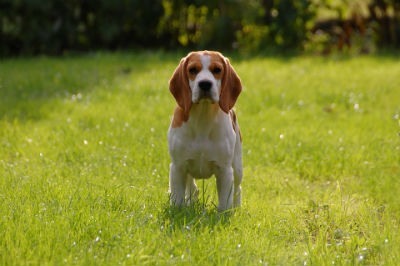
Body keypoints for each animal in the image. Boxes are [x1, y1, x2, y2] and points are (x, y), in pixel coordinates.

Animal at [167, 51, 242, 211]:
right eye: (192, 70)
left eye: (217, 70)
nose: (205, 84)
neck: (203, 115)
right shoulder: (178, 167)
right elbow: (177, 199)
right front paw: (179, 211)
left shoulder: (225, 170)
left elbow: (225, 203)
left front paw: (224, 214)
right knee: (192, 187)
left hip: (237, 167)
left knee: (238, 189)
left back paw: (237, 208)